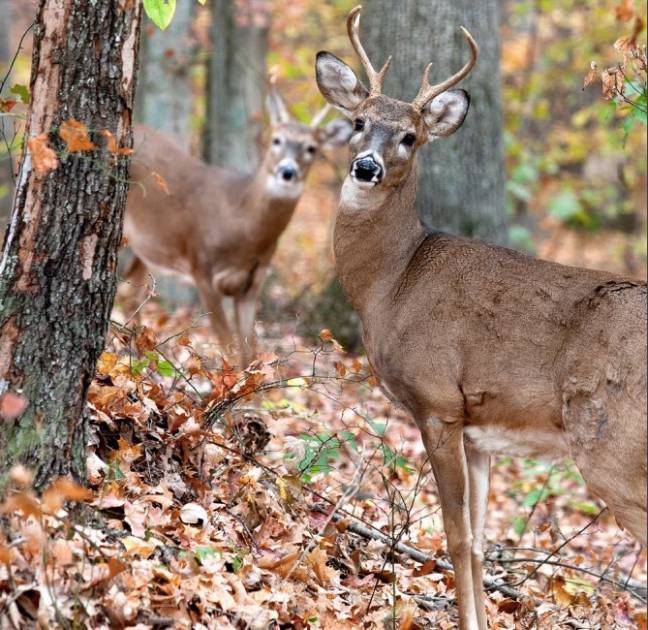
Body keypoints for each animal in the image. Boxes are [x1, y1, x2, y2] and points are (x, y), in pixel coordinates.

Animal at [123, 86, 352, 368]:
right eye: (277, 140)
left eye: (311, 148)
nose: (287, 171)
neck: (241, 227)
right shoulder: (202, 269)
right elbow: (230, 351)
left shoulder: (252, 283)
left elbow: (249, 355)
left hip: (149, 247)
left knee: (129, 291)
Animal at [316, 6, 644, 630]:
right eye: (359, 120)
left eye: (410, 136)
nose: (366, 167)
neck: (393, 282)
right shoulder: (481, 431)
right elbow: (479, 539)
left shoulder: (438, 402)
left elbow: (455, 536)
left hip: (612, 445)